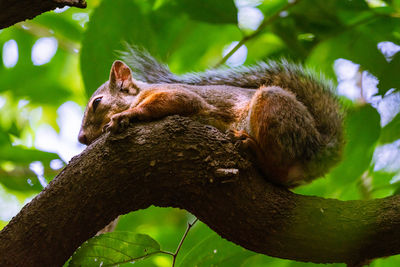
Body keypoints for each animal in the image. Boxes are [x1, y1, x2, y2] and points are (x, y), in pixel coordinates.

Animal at [78, 46, 344, 188]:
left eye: (97, 103)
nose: (81, 138)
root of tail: (320, 148)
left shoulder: (184, 97)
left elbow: (178, 102)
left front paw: (127, 114)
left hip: (274, 109)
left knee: (278, 168)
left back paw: (252, 148)